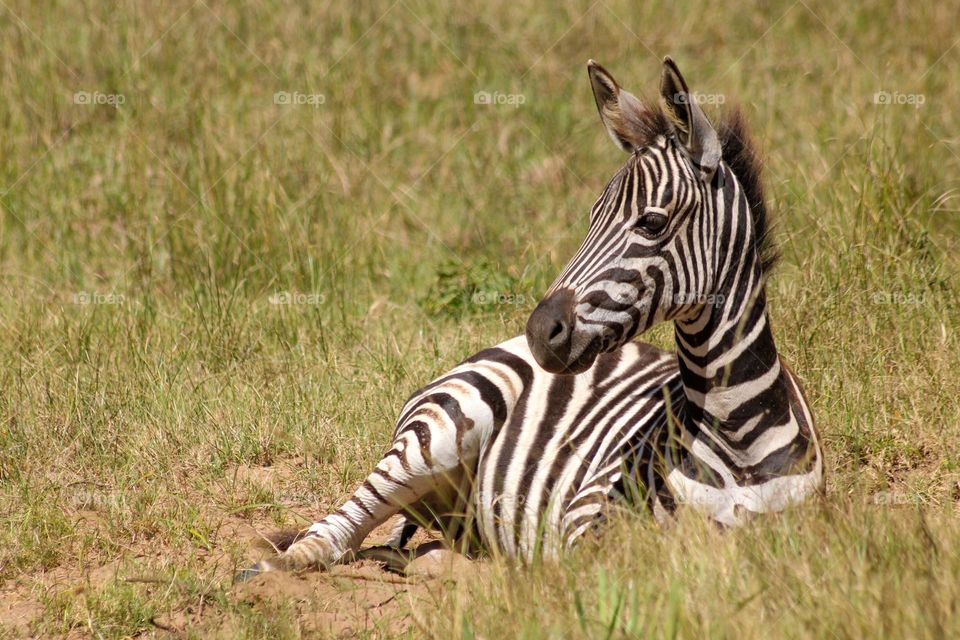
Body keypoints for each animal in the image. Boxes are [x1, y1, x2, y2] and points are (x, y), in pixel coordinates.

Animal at [237, 56, 823, 579]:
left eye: (652, 223)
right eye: (591, 217)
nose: (541, 331)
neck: (738, 431)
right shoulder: (586, 518)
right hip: (437, 434)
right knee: (334, 532)